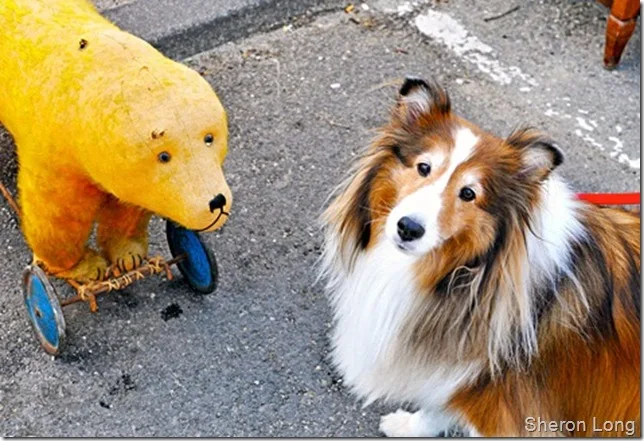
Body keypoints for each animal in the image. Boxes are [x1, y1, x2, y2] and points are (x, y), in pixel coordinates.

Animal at [322, 77, 640, 434]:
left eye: (468, 193)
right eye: (423, 167)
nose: (408, 228)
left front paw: (409, 426)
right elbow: (441, 405)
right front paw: (412, 426)